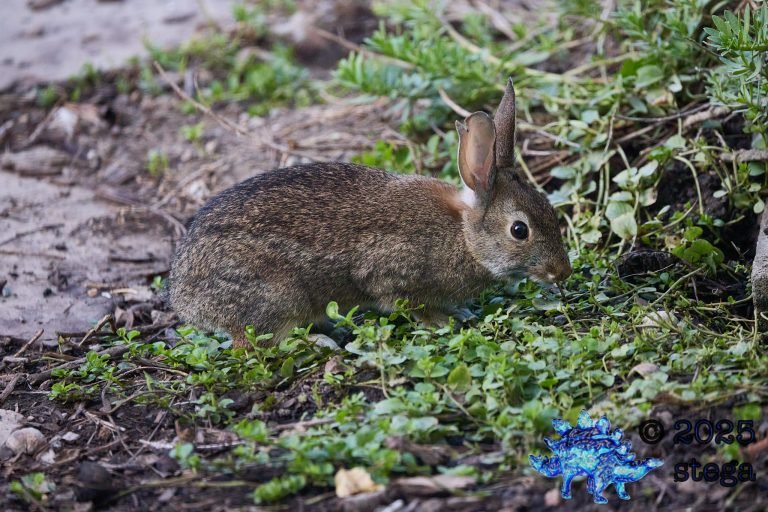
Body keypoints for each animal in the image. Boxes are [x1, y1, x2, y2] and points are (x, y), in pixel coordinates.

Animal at [167, 79, 572, 347]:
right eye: (519, 230)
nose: (563, 271)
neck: (464, 235)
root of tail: (184, 296)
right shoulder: (389, 274)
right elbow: (407, 304)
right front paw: (444, 320)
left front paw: (459, 313)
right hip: (279, 297)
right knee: (258, 343)